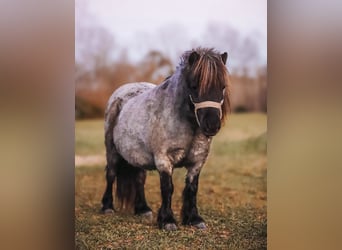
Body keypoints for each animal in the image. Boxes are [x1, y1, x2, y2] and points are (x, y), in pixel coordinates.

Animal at [101, 47, 230, 230]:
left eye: (222, 87)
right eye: (194, 86)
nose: (212, 126)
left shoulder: (197, 162)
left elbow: (192, 188)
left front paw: (194, 219)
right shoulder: (164, 160)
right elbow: (168, 188)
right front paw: (167, 220)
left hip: (137, 155)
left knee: (139, 179)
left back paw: (143, 209)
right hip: (112, 151)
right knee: (111, 174)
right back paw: (107, 207)